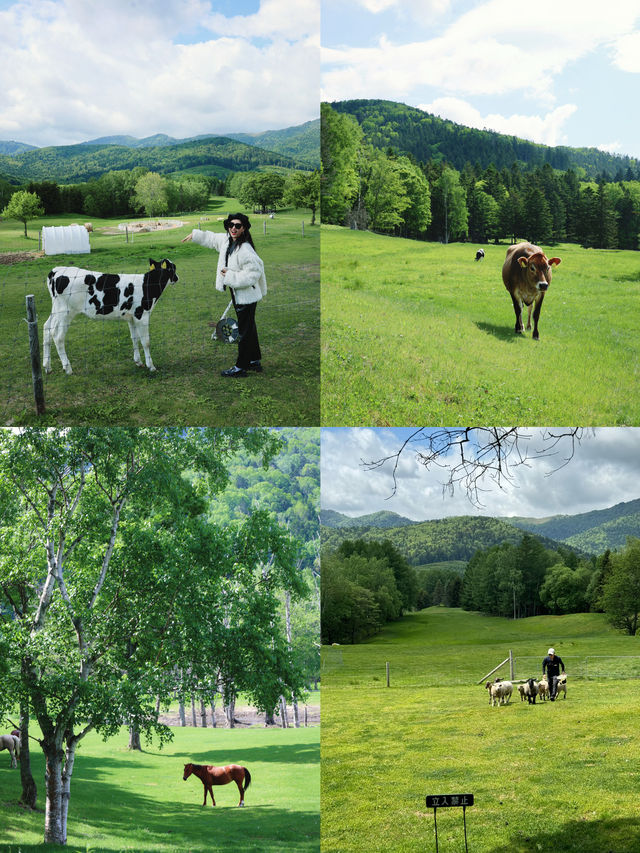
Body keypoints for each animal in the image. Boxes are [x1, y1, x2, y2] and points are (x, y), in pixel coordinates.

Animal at [43, 256, 178, 370]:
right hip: (65, 313)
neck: (147, 285)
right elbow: (146, 341)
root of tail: (57, 270)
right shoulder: (142, 315)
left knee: (47, 328)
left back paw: (47, 366)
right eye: (173, 268)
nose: (177, 278)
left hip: (56, 310)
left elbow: (134, 338)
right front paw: (151, 366)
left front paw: (138, 361)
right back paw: (67, 368)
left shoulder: (131, 317)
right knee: (58, 337)